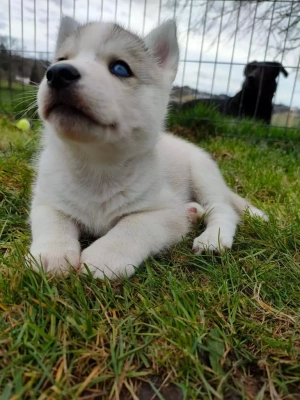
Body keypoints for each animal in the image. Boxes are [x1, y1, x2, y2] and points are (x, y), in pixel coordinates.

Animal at [28, 15, 266, 278]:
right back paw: (193, 212)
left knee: (223, 210)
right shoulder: (46, 200)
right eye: (62, 60)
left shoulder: (165, 214)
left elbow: (135, 224)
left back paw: (212, 238)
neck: (97, 165)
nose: (58, 73)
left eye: (120, 68)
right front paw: (51, 254)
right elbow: (53, 221)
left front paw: (105, 256)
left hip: (204, 175)